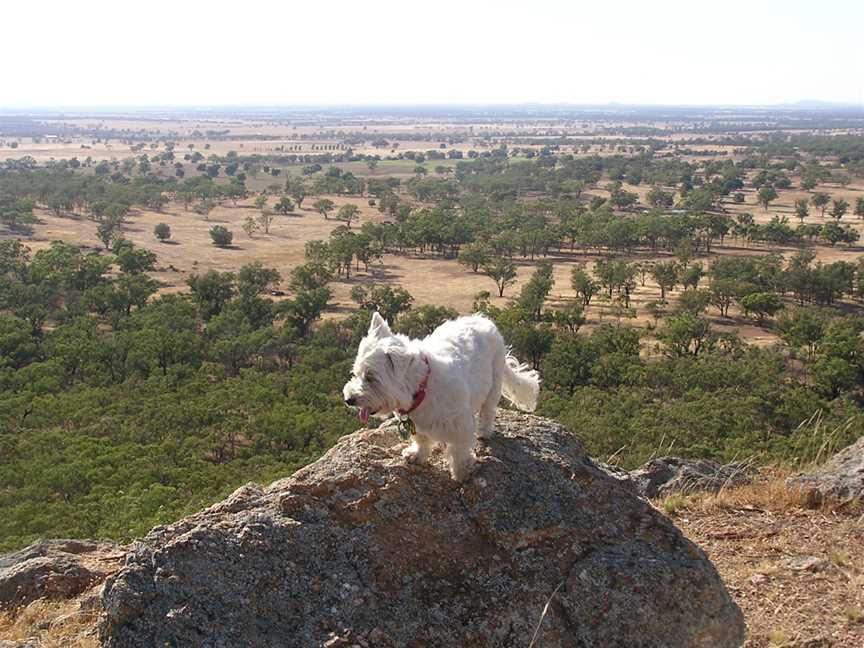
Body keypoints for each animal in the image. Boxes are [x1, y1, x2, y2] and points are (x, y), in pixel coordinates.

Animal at [344, 314, 540, 480]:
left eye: (371, 377)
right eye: (355, 374)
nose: (349, 400)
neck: (421, 388)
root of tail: (484, 320)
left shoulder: (460, 425)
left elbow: (459, 451)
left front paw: (461, 472)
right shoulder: (417, 426)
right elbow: (421, 440)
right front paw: (417, 454)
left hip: (494, 383)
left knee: (488, 411)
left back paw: (484, 431)